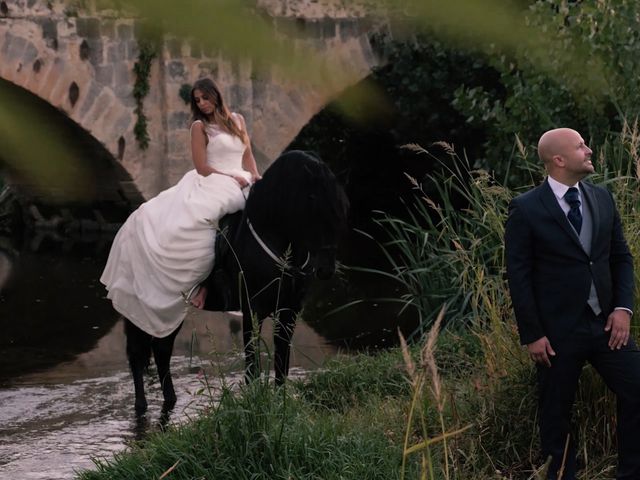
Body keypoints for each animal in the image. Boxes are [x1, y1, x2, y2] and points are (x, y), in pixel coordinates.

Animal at [125, 151, 350, 412]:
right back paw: (141, 404)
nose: (326, 269)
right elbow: (252, 365)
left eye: (341, 205)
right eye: (312, 201)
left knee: (161, 350)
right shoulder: (252, 310)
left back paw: (170, 400)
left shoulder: (289, 310)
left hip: (171, 310)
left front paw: (280, 402)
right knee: (137, 354)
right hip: (143, 308)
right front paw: (255, 403)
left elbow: (281, 361)